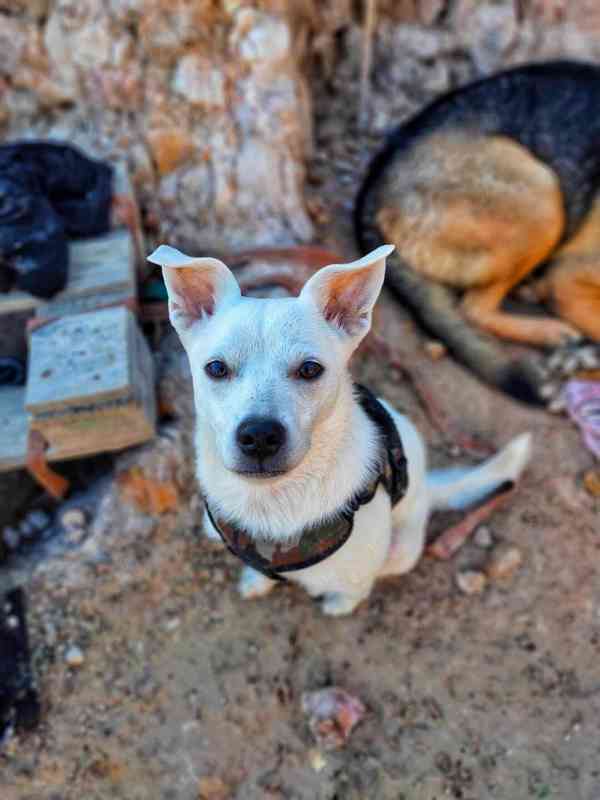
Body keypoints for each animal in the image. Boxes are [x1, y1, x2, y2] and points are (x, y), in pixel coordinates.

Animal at [148, 244, 532, 620]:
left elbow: (354, 592)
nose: (259, 436)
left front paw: (338, 605)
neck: (275, 501)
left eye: (309, 369)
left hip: (402, 549)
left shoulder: (360, 573)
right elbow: (260, 568)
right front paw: (256, 581)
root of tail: (425, 488)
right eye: (216, 368)